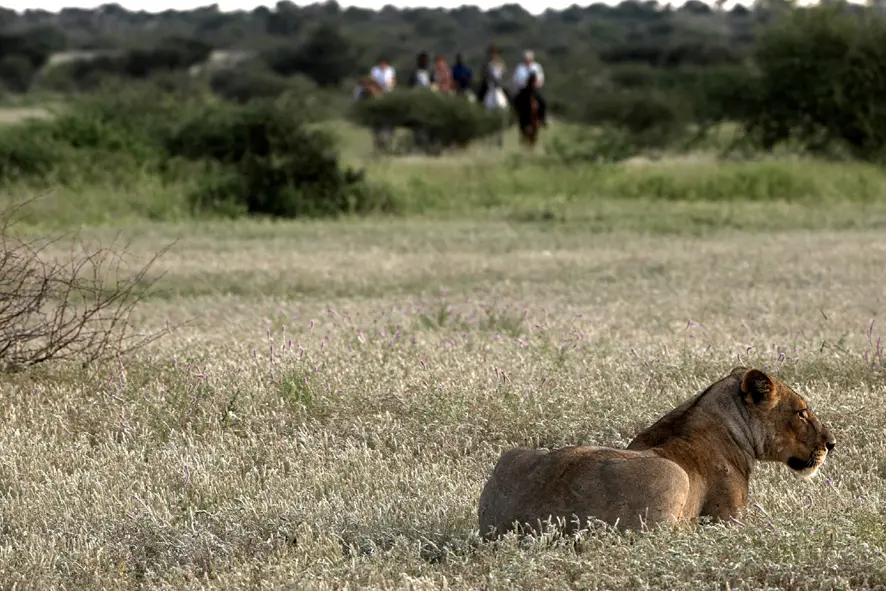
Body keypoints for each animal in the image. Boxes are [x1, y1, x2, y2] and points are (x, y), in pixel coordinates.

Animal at [477, 367, 836, 539]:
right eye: (802, 412)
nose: (831, 443)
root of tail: (533, 522)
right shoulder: (726, 516)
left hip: (512, 456)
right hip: (673, 474)